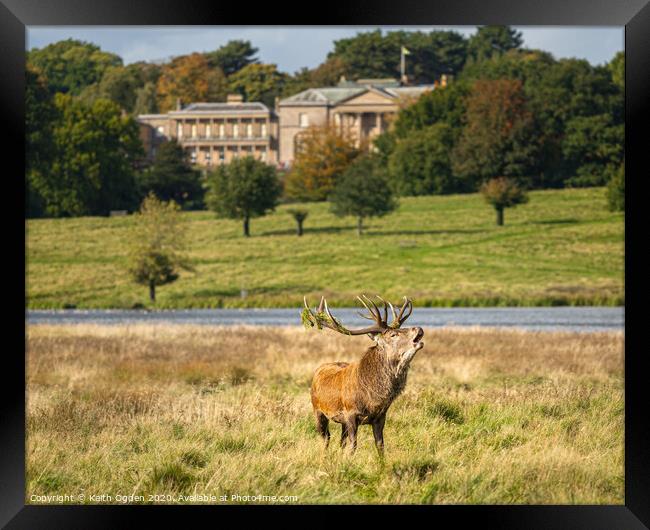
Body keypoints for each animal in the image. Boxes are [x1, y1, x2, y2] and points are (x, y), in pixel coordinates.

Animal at [302, 292, 422, 454]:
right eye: (393, 335)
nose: (419, 328)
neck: (372, 398)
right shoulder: (351, 414)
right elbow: (353, 446)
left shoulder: (380, 417)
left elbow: (380, 445)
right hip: (317, 410)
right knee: (326, 438)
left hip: (341, 422)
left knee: (341, 441)